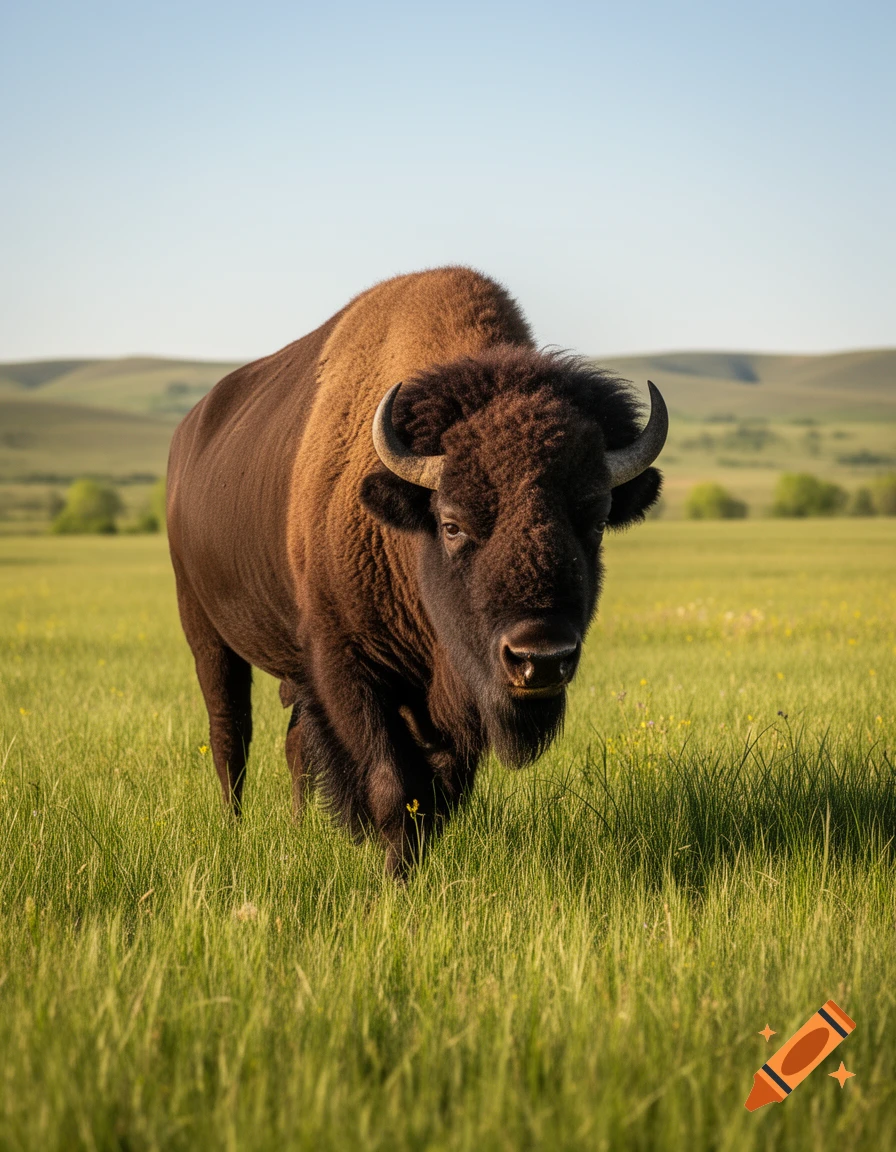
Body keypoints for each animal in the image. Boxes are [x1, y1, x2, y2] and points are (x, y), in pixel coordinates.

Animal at [167, 267, 667, 877]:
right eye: (451, 524)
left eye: (594, 520)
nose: (540, 658)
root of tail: (188, 437)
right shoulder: (348, 669)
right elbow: (392, 785)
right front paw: (395, 877)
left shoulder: (453, 698)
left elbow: (435, 794)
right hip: (205, 631)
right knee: (231, 733)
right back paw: (234, 827)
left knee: (293, 745)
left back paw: (299, 827)